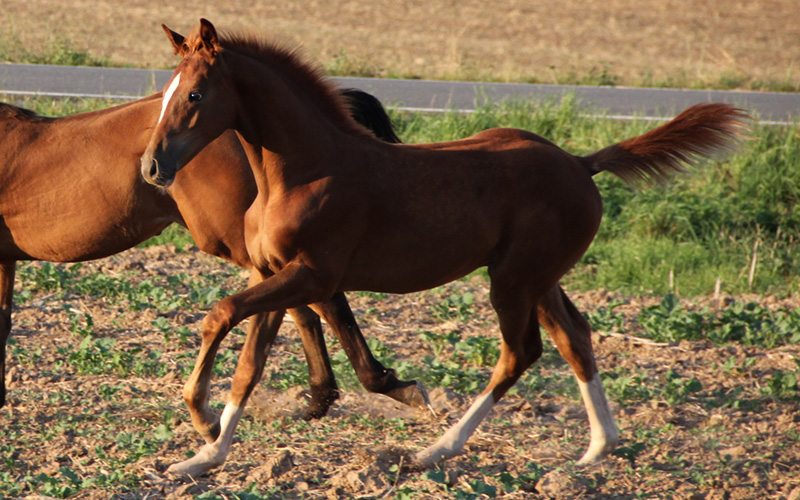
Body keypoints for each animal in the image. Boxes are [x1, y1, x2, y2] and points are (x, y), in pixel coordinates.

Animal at [0, 88, 424, 440]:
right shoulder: (5, 260)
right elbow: (4, 321)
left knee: (323, 301)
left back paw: (386, 387)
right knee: (305, 307)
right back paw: (319, 399)